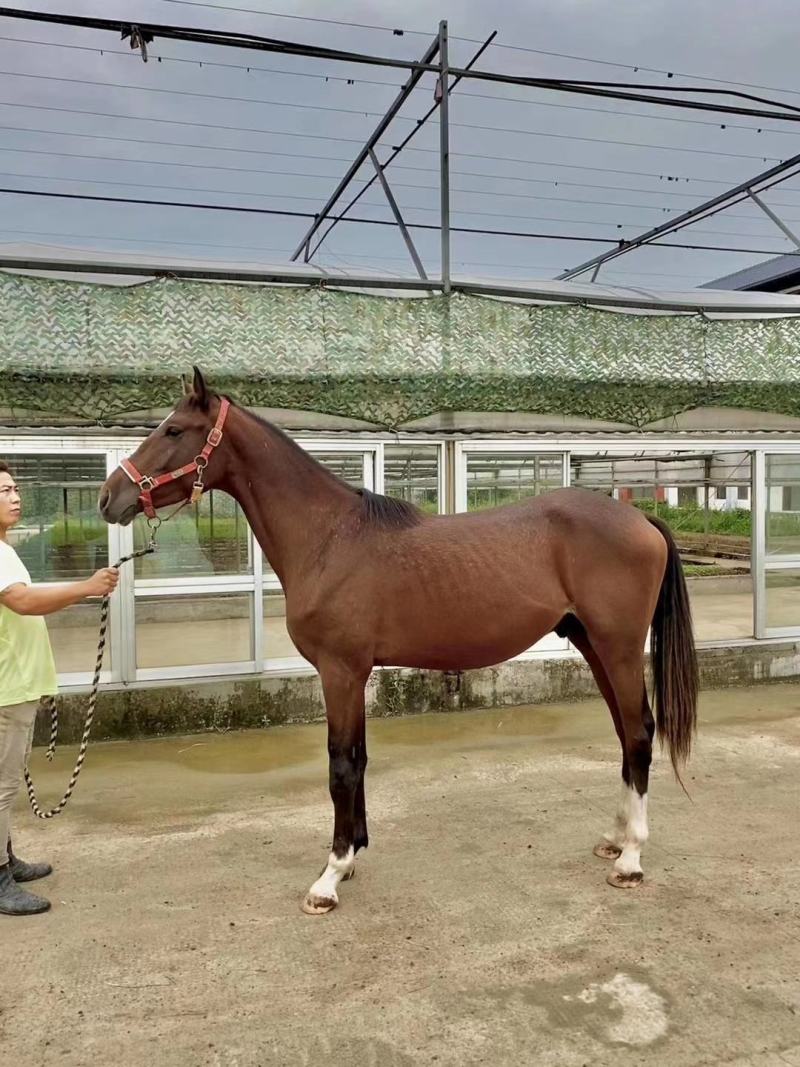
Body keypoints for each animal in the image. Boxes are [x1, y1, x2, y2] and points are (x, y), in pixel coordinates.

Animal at [98, 368, 698, 915]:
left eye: (174, 430)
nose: (109, 497)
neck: (330, 538)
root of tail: (642, 518)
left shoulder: (340, 671)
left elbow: (341, 766)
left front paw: (330, 876)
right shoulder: (353, 673)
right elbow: (359, 759)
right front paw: (353, 856)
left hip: (618, 648)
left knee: (639, 733)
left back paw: (631, 859)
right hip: (594, 646)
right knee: (625, 735)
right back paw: (615, 838)